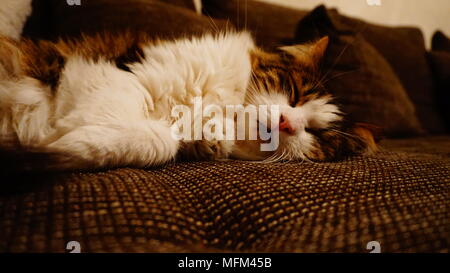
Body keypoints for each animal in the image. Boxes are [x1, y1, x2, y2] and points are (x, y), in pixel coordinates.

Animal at [0, 30, 376, 170]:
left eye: (315, 134)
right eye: (296, 95)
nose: (287, 122)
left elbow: (159, 142)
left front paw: (57, 146)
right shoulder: (128, 72)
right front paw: (58, 136)